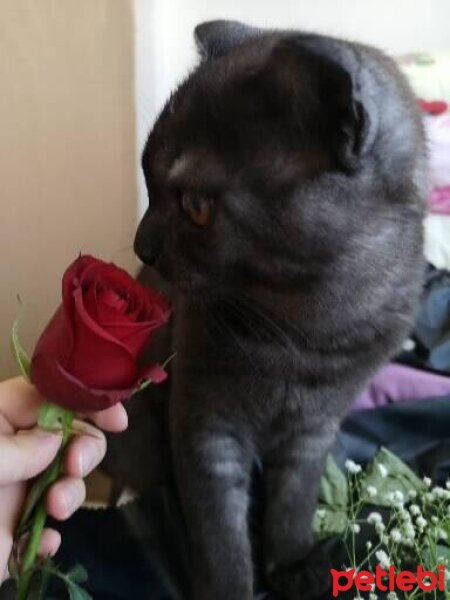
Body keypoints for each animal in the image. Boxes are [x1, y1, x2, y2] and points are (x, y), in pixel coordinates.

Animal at [108, 19, 426, 600]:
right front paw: (231, 587)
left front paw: (294, 565)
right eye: (146, 175)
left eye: (197, 207)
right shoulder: (204, 427)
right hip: (139, 433)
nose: (143, 246)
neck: (303, 332)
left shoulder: (314, 429)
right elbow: (219, 535)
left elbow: (292, 503)